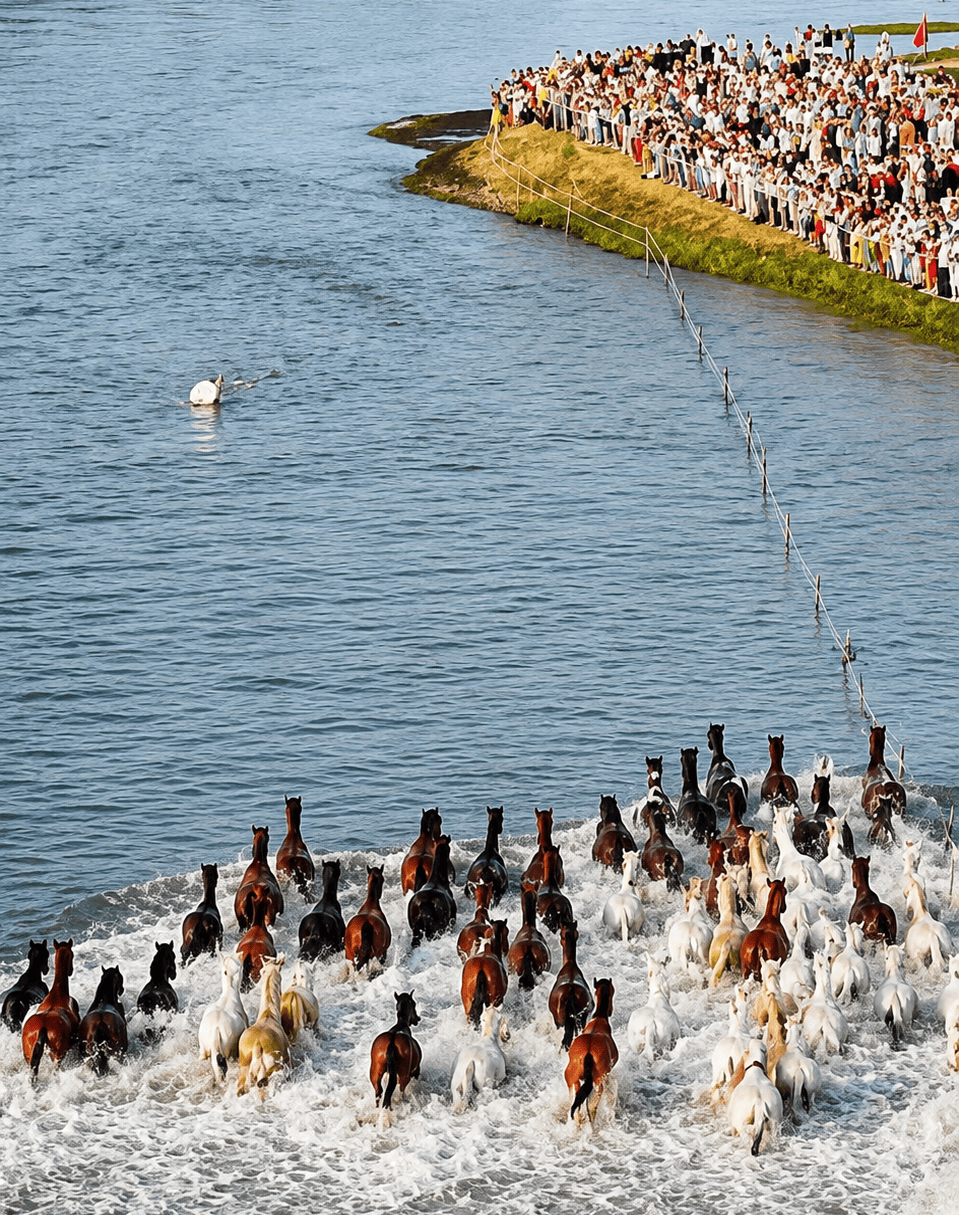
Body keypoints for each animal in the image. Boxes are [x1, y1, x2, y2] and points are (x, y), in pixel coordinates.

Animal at [21, 938, 80, 1078]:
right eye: (72, 955)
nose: (71, 971)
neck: (57, 993)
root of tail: (42, 1028)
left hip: (29, 1058)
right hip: (57, 1057)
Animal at [566, 978, 618, 1123]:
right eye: (613, 991)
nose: (611, 1010)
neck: (599, 1019)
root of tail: (588, 1053)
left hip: (572, 1078)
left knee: (577, 1103)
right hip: (598, 1082)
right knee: (592, 1106)